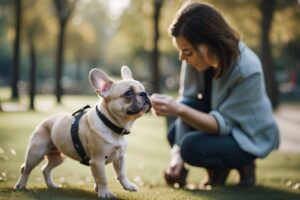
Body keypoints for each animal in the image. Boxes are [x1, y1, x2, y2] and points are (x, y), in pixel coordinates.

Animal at [13, 66, 152, 198]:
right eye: (128, 93)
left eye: (144, 89)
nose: (145, 94)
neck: (111, 124)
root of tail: (45, 120)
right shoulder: (97, 160)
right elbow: (102, 178)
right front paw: (104, 193)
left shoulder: (120, 157)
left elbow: (121, 173)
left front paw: (127, 186)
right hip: (36, 153)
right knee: (25, 168)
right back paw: (20, 185)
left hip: (58, 157)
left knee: (45, 169)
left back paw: (51, 185)